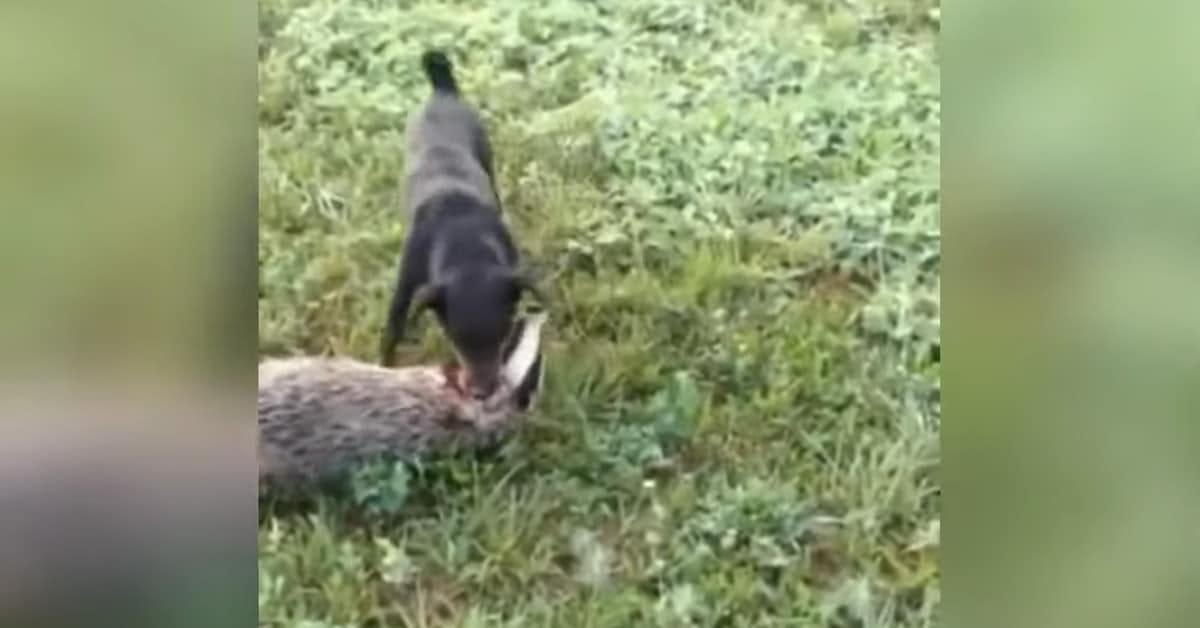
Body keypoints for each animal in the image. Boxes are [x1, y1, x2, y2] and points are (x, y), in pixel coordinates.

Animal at [379, 51, 544, 401]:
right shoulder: (404, 289)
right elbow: (392, 331)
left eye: (501, 334)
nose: (482, 392)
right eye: (457, 338)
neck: (466, 243)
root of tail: (443, 90)